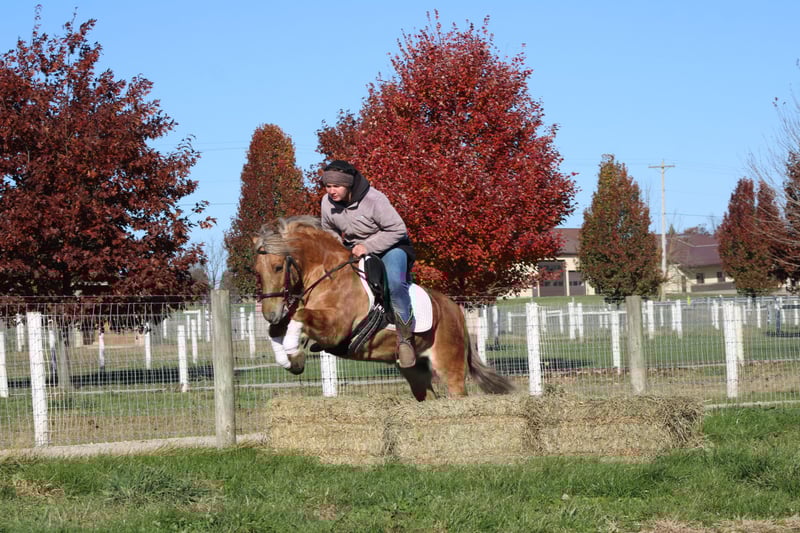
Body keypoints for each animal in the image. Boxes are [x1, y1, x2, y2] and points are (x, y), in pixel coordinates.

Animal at [251, 215, 515, 401]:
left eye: (278, 267)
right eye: (256, 271)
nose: (270, 313)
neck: (326, 275)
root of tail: (455, 311)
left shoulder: (336, 329)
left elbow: (299, 315)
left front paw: (291, 349)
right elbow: (276, 330)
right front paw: (289, 360)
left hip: (450, 367)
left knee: (457, 391)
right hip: (415, 370)